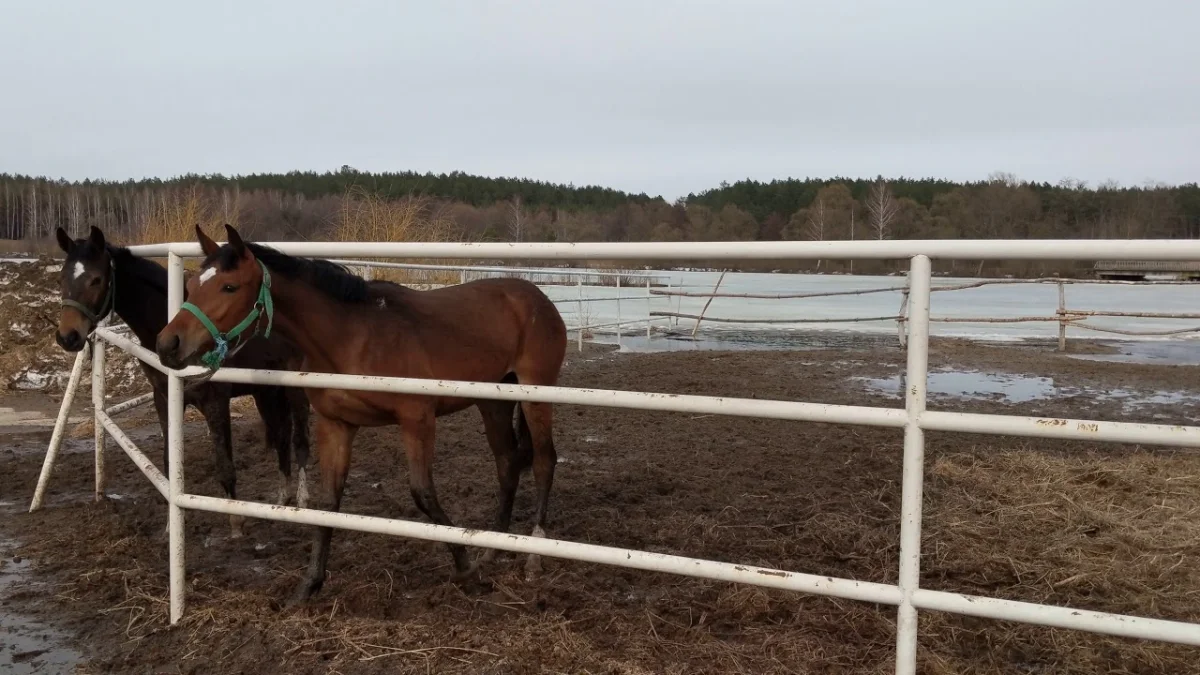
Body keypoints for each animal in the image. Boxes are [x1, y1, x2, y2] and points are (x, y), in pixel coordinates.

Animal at [54, 225, 314, 535]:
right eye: (61, 278)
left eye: (96, 279)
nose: (68, 337)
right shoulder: (164, 399)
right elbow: (169, 465)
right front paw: (171, 525)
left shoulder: (215, 401)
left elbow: (225, 465)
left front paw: (235, 523)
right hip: (266, 391)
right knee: (281, 435)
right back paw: (282, 499)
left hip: (296, 388)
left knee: (300, 439)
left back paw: (302, 500)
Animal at [154, 223, 566, 600]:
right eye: (191, 287)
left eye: (230, 287)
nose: (167, 344)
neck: (353, 338)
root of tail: (537, 297)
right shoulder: (336, 425)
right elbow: (328, 502)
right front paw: (309, 585)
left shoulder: (417, 419)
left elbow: (423, 494)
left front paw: (465, 570)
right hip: (493, 401)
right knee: (507, 462)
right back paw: (495, 548)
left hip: (535, 394)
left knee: (544, 461)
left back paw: (534, 554)